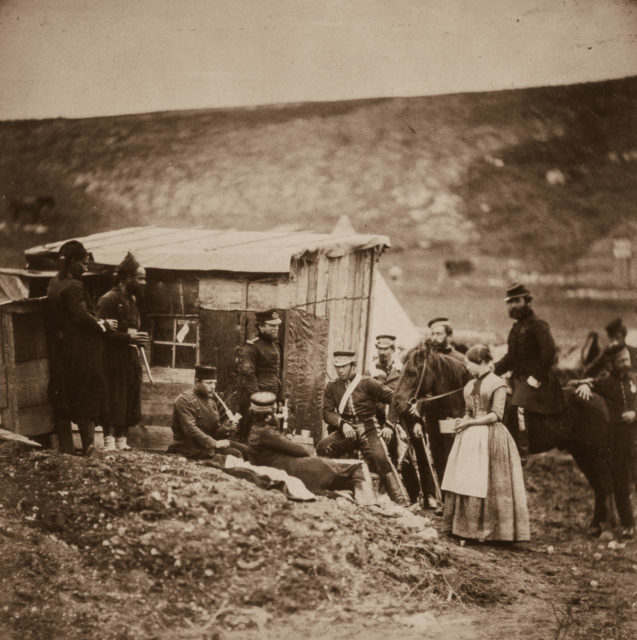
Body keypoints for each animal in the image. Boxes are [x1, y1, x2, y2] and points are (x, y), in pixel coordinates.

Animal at [392, 342, 616, 532]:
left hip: (594, 453)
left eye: (412, 372)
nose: (396, 403)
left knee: (605, 483)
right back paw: (595, 526)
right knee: (599, 487)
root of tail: (597, 398)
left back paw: (608, 528)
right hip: (582, 454)